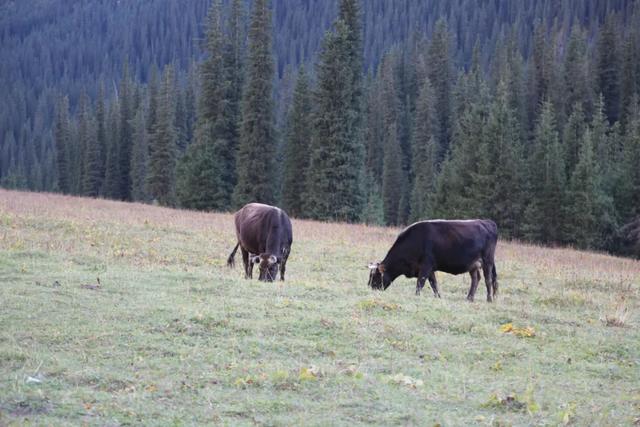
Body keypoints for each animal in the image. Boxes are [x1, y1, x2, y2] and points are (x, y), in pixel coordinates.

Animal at [368, 221, 498, 300]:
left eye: (375, 276)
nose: (370, 288)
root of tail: (486, 222)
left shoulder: (426, 266)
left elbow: (420, 283)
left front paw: (417, 296)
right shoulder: (430, 269)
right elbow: (433, 283)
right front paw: (438, 297)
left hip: (487, 260)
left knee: (488, 279)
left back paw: (489, 299)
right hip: (473, 264)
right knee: (476, 279)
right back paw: (469, 298)